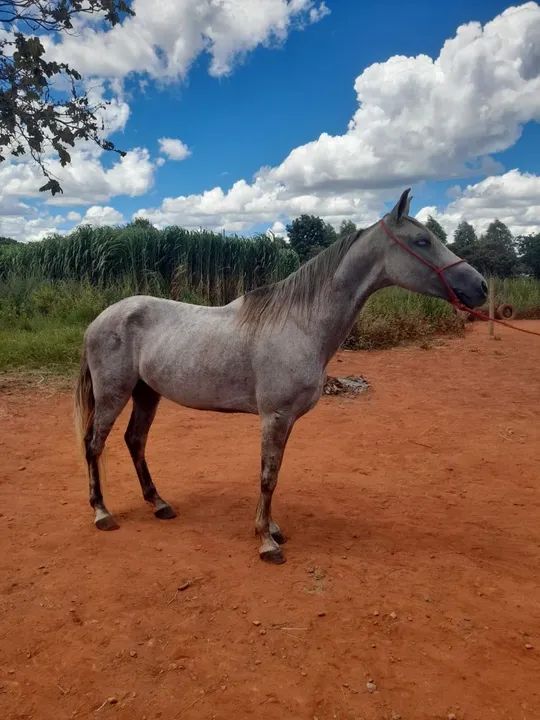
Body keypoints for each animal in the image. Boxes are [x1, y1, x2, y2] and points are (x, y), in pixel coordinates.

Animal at [75, 189, 487, 564]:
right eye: (422, 241)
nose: (479, 286)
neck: (299, 324)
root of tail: (99, 319)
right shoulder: (274, 417)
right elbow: (267, 476)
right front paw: (266, 541)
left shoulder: (286, 421)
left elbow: (275, 474)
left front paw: (271, 529)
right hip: (114, 393)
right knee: (94, 444)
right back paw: (102, 513)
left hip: (146, 392)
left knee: (135, 441)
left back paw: (159, 503)